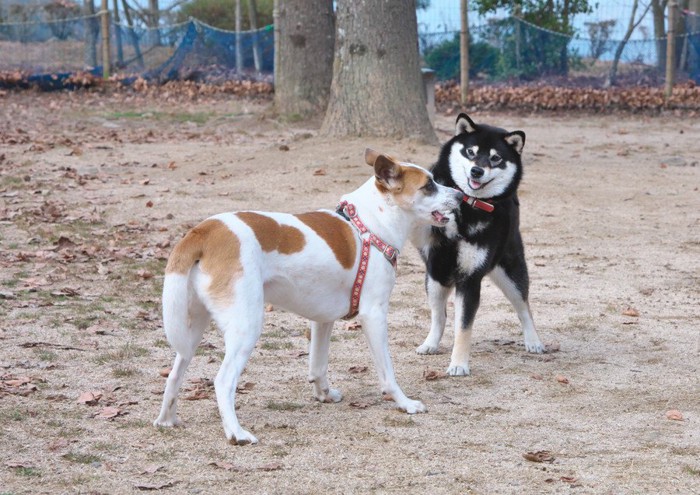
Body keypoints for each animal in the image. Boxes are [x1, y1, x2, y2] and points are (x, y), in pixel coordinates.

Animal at [154, 148, 462, 446]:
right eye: (429, 185)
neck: (371, 224)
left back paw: (167, 419)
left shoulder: (322, 320)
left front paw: (324, 394)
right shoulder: (373, 315)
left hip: (192, 329)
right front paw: (404, 403)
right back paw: (236, 433)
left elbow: (318, 364)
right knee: (223, 381)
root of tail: (204, 231)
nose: (460, 196)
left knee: (175, 373)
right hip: (246, 326)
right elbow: (387, 372)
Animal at [412, 113, 544, 376]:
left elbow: (463, 328)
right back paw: (430, 343)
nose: (476, 170)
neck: (468, 206)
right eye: (470, 152)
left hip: (511, 274)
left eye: (495, 158)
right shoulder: (436, 262)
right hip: (435, 281)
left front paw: (459, 364)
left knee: (524, 307)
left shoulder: (470, 279)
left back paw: (533, 340)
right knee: (439, 316)